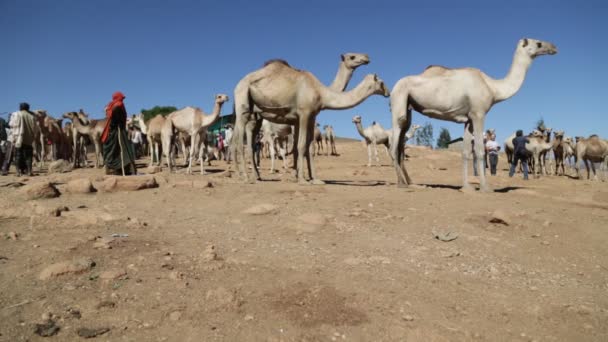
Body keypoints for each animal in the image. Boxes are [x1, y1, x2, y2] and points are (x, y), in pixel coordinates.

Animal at [233, 58, 390, 184]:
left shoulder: (310, 117)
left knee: (249, 143)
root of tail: (238, 84)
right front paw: (302, 179)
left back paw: (254, 176)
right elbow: (301, 146)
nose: (388, 92)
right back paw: (246, 177)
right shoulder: (303, 114)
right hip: (244, 103)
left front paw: (313, 179)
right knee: (240, 141)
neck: (322, 92)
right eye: (381, 82)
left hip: (255, 116)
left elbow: (307, 147)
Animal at [390, 38, 556, 191]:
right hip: (399, 99)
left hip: (408, 108)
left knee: (401, 142)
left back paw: (408, 181)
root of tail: (393, 88)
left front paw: (466, 187)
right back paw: (402, 183)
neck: (493, 88)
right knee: (394, 144)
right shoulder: (478, 114)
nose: (554, 47)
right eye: (539, 43)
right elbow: (480, 151)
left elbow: (465, 152)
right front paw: (485, 188)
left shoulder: (468, 119)